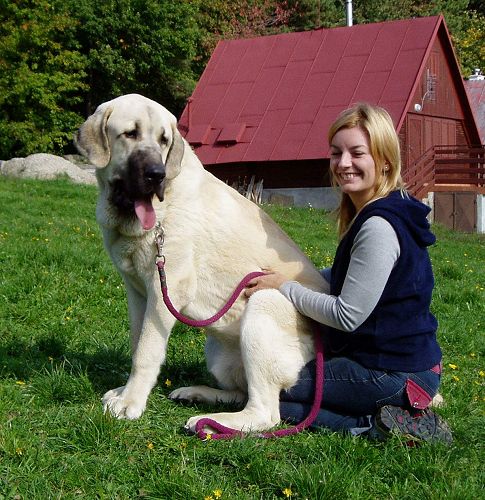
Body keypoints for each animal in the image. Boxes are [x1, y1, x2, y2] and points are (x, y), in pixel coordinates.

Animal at [75, 94, 326, 434]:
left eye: (164, 140)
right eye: (130, 133)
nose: (157, 174)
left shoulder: (164, 291)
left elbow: (147, 351)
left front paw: (131, 402)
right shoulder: (137, 293)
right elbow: (136, 343)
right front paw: (125, 391)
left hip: (264, 302)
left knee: (265, 411)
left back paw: (213, 422)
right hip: (219, 352)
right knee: (241, 392)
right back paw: (198, 394)